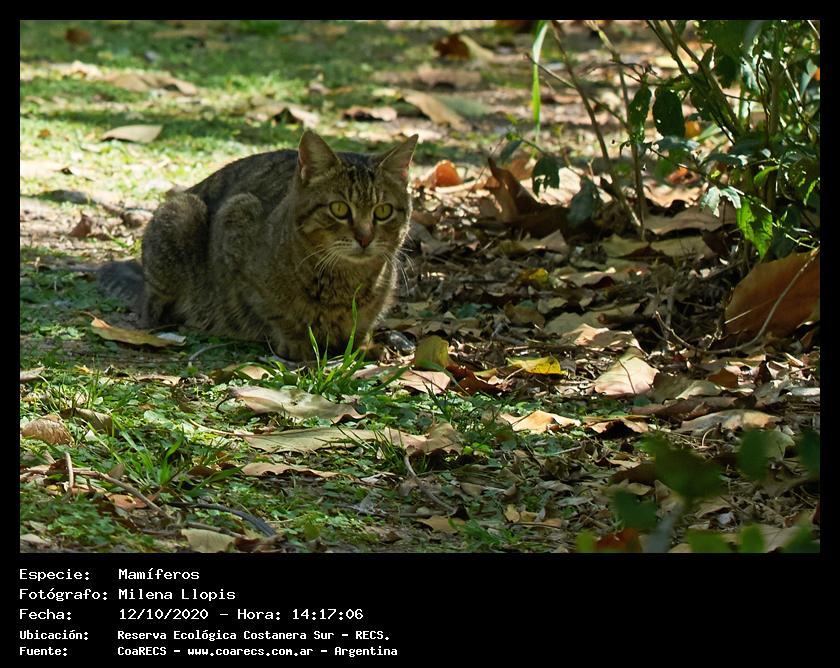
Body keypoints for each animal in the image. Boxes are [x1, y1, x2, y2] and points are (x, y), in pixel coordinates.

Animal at [99, 130, 418, 360]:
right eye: (339, 209)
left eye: (383, 211)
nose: (365, 237)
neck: (342, 283)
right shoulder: (236, 225)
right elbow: (274, 312)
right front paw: (296, 341)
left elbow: (363, 324)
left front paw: (364, 345)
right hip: (181, 214)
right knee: (153, 311)